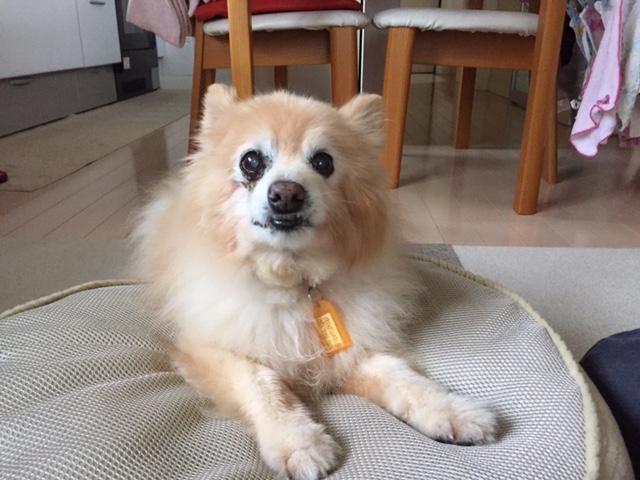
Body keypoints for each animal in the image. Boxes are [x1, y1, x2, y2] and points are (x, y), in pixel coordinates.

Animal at [132, 85, 497, 480]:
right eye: (251, 161)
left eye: (323, 162)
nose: (287, 193)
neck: (292, 281)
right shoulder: (207, 348)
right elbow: (261, 381)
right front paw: (297, 441)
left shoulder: (348, 353)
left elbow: (399, 375)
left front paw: (450, 410)